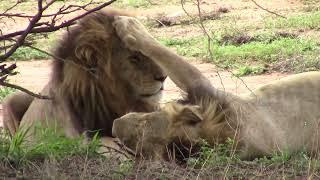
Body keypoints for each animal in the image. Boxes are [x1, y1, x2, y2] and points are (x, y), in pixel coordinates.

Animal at [110, 15, 320, 160]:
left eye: (143, 123)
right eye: (136, 147)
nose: (114, 126)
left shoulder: (205, 88)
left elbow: (162, 52)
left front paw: (127, 24)